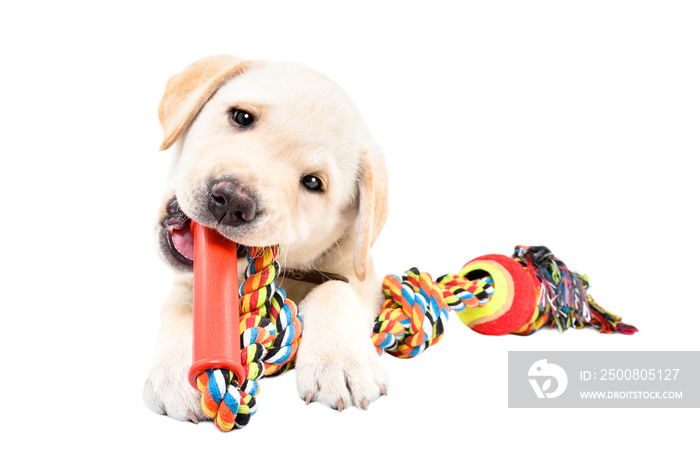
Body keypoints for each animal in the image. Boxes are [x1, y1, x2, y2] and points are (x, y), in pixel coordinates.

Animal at [145, 54, 392, 422]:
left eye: (313, 183)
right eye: (242, 117)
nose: (232, 201)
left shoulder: (363, 277)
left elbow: (334, 290)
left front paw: (340, 361)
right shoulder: (187, 282)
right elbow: (183, 306)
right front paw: (179, 372)